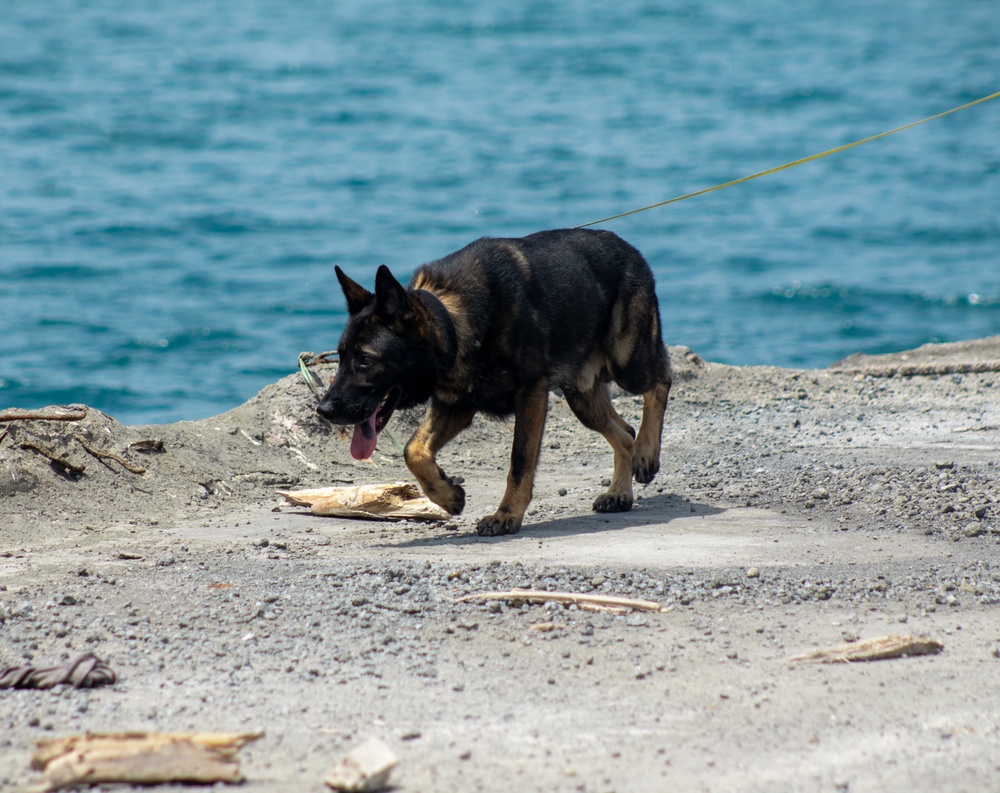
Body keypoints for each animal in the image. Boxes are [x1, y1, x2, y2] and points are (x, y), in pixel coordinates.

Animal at [316, 229, 668, 540]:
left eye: (365, 360)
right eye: (341, 356)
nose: (324, 410)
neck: (454, 321)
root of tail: (629, 249)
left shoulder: (531, 396)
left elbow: (520, 462)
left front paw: (506, 515)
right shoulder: (456, 406)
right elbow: (413, 449)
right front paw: (447, 495)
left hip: (626, 361)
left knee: (661, 380)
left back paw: (646, 453)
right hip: (581, 397)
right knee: (625, 432)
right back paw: (620, 491)